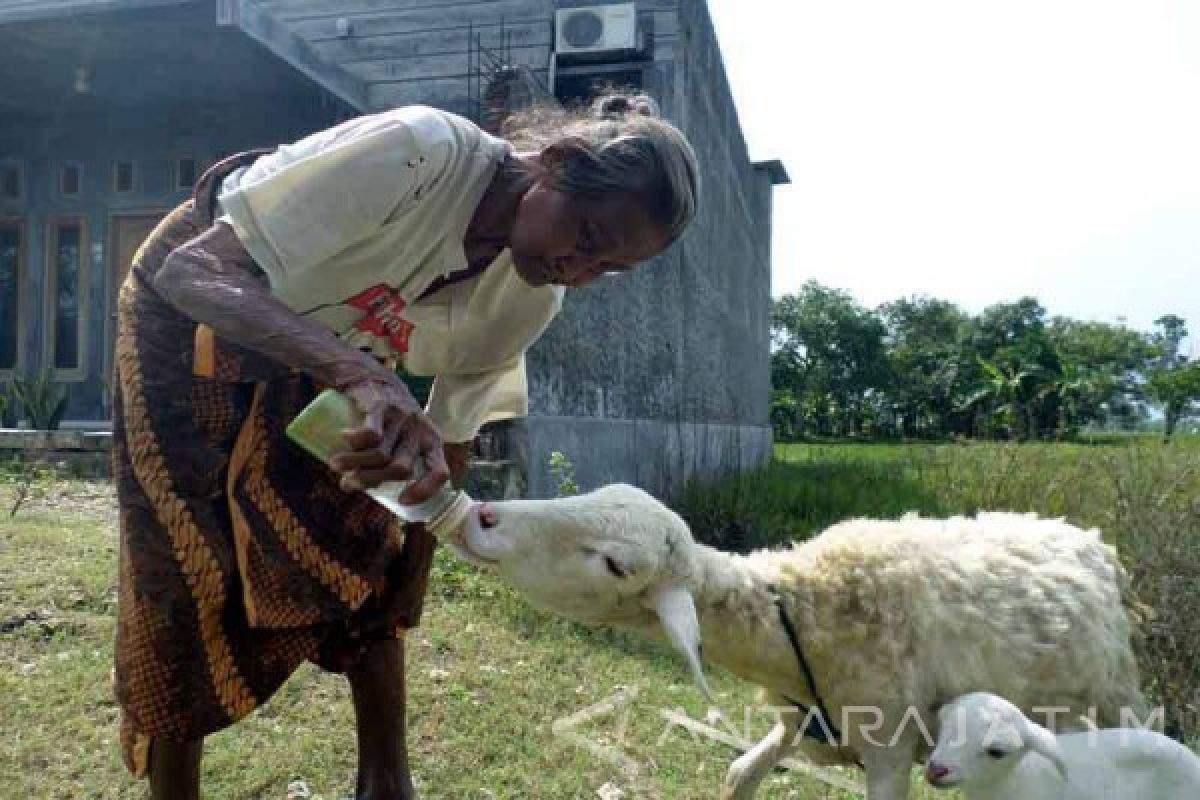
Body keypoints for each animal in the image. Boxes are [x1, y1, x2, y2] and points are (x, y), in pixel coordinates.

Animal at [448, 484, 1142, 796]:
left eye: (617, 564)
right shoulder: (794, 719)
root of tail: (1088, 537)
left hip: (1114, 703)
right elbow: (738, 774)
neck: (802, 615)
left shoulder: (889, 752)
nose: (482, 515)